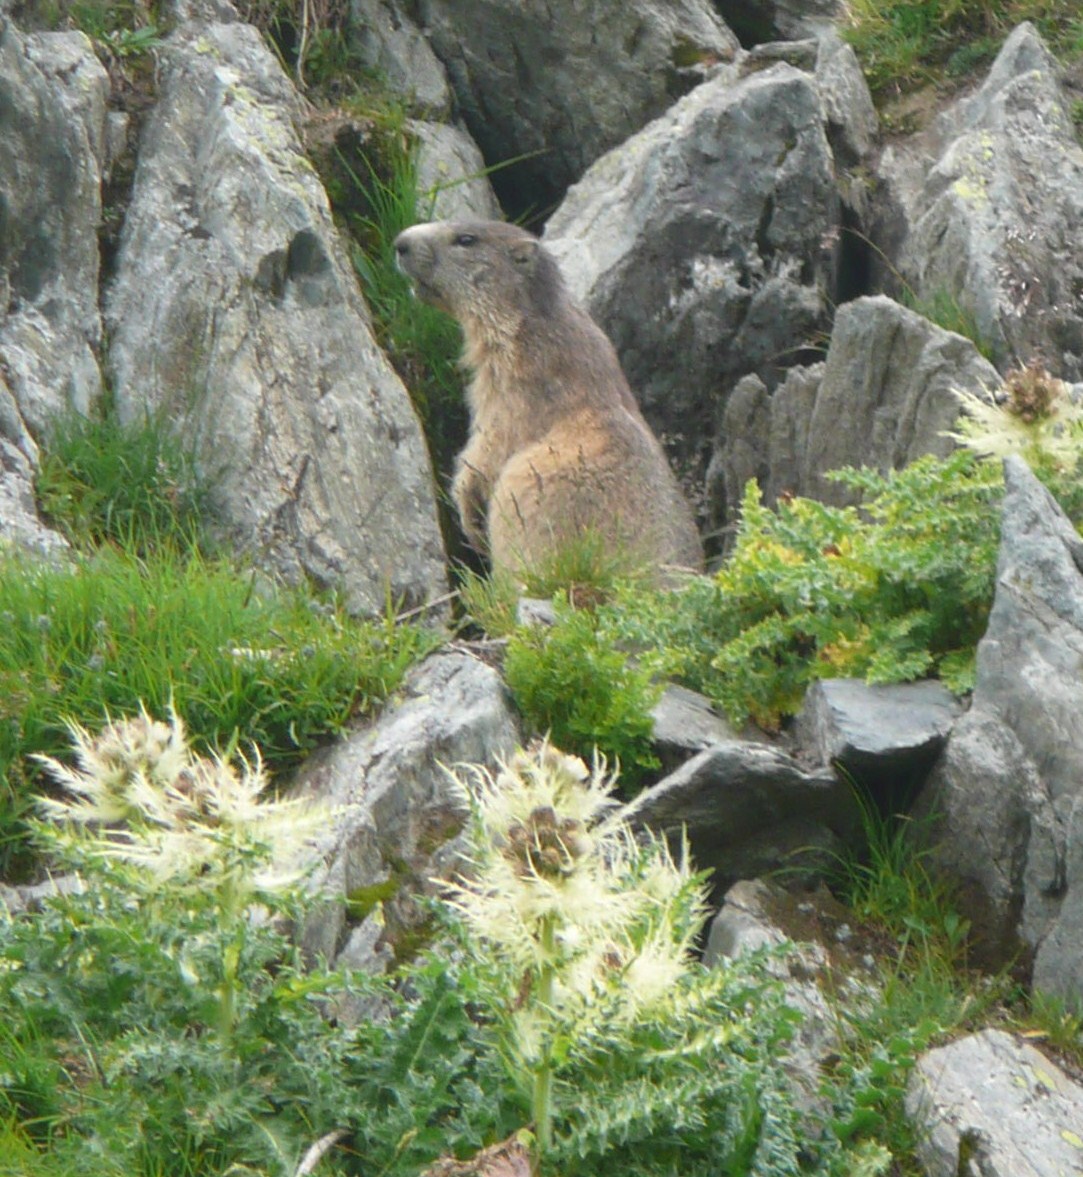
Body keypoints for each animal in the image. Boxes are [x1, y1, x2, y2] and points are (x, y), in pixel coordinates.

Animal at [393, 220, 704, 580]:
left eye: (466, 240)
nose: (399, 242)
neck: (528, 324)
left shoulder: (511, 389)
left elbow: (485, 449)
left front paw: (469, 519)